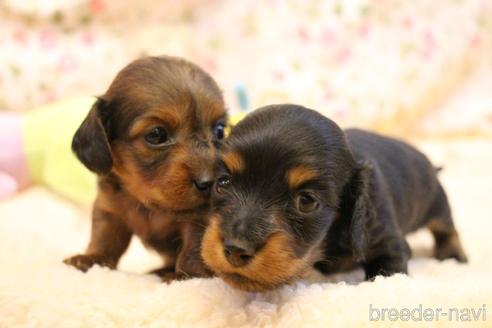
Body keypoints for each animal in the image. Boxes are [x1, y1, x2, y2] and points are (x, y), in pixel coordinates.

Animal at [63, 55, 229, 280]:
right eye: (157, 134)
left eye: (219, 130)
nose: (210, 182)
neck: (148, 205)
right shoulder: (110, 210)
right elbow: (104, 239)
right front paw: (91, 259)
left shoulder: (201, 218)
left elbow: (194, 249)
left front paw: (184, 276)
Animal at [201, 104, 468, 290]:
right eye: (223, 183)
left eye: (306, 201)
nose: (235, 250)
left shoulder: (387, 241)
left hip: (437, 203)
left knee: (446, 227)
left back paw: (453, 255)